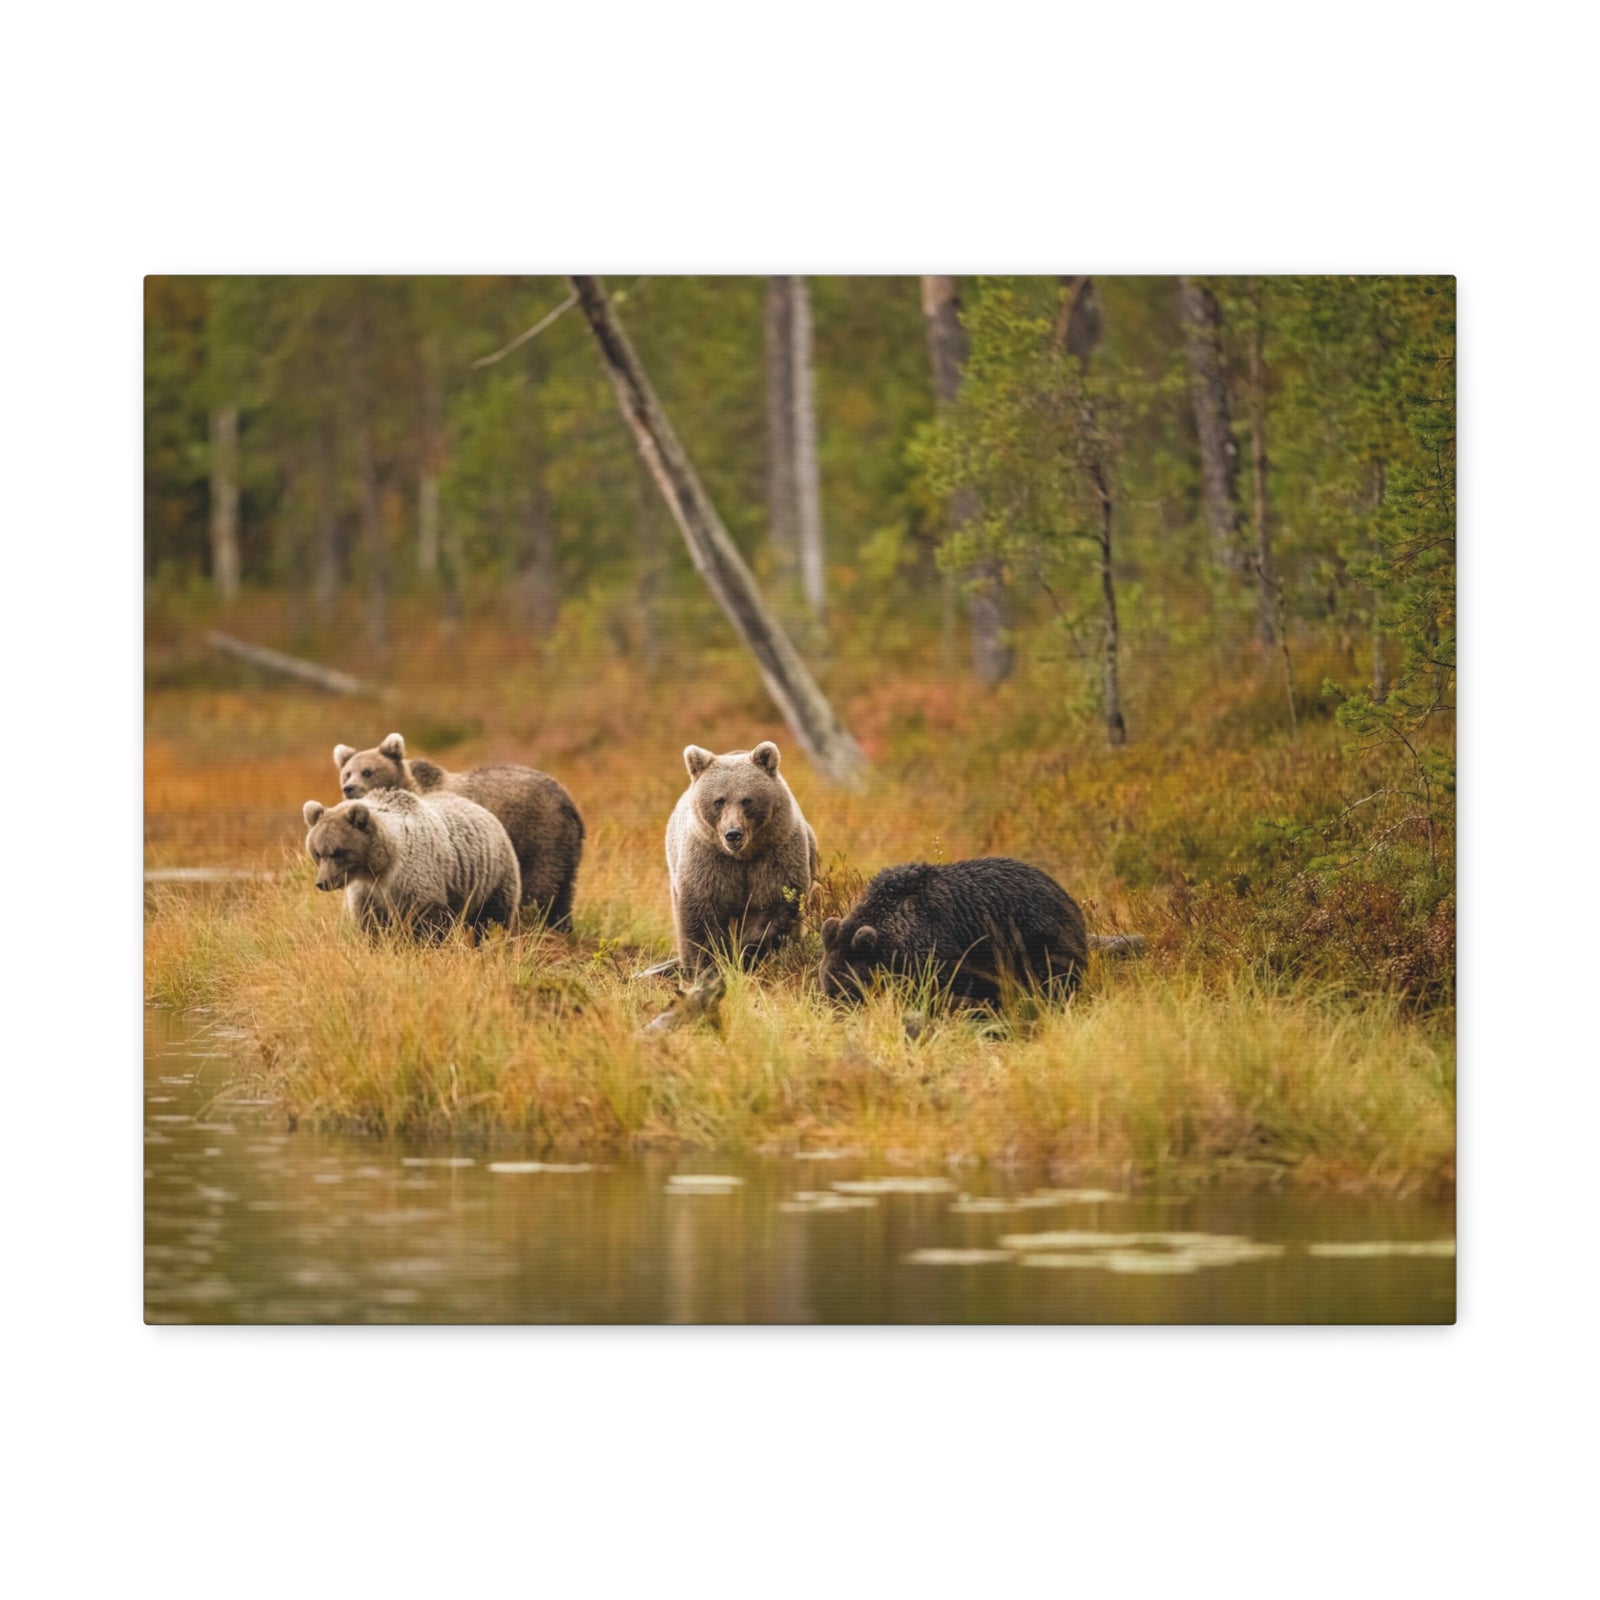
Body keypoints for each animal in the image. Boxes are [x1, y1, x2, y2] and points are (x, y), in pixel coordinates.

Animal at [302, 788, 521, 942]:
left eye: (338, 852)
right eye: (317, 852)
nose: (323, 882)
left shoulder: (412, 876)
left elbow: (423, 921)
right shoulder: (366, 892)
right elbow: (371, 924)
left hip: (492, 876)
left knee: (491, 918)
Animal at [332, 733, 584, 932]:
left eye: (367, 772)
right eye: (347, 773)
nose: (348, 788)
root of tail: (568, 799)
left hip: (537, 835)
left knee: (538, 888)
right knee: (563, 890)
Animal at [664, 740, 819, 975]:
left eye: (746, 800)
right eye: (719, 801)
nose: (733, 833)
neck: (743, 856)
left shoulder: (775, 856)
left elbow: (771, 909)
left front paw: (748, 951)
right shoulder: (709, 860)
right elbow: (703, 915)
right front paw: (711, 965)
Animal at [817, 857, 1089, 1006]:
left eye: (848, 987)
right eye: (827, 986)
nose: (837, 1010)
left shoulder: (941, 951)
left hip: (1039, 939)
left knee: (1052, 982)